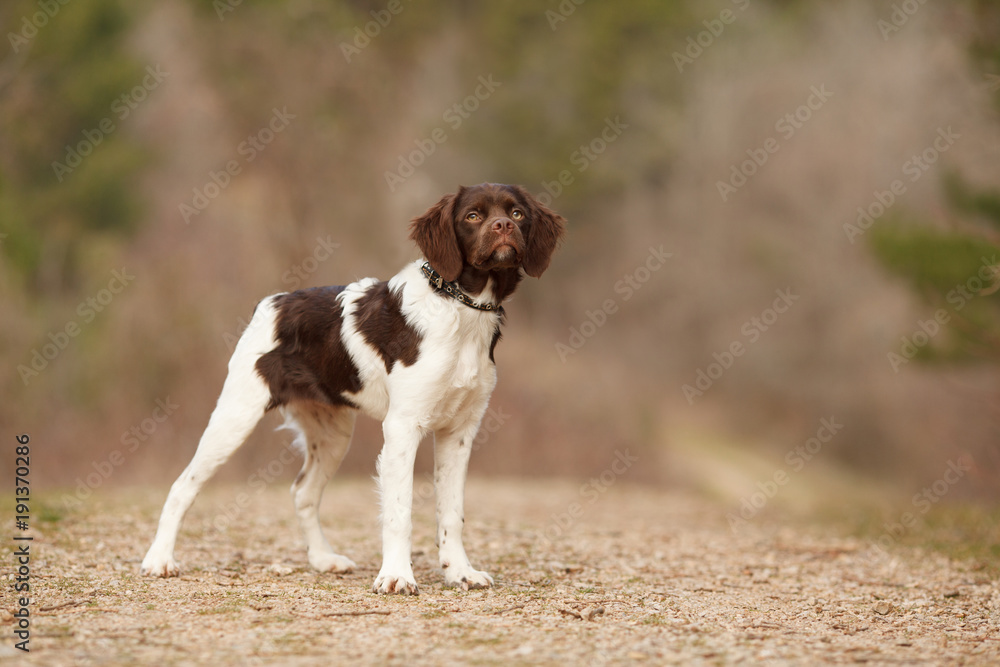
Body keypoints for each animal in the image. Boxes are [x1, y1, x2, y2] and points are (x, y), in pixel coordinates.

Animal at [139, 181, 572, 596]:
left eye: (517, 213)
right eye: (473, 215)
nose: (503, 227)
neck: (460, 308)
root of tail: (273, 302)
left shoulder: (460, 432)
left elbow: (452, 511)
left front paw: (459, 572)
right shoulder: (402, 427)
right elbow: (399, 511)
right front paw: (396, 577)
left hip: (332, 435)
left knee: (303, 492)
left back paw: (322, 559)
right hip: (235, 416)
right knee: (182, 486)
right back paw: (160, 559)